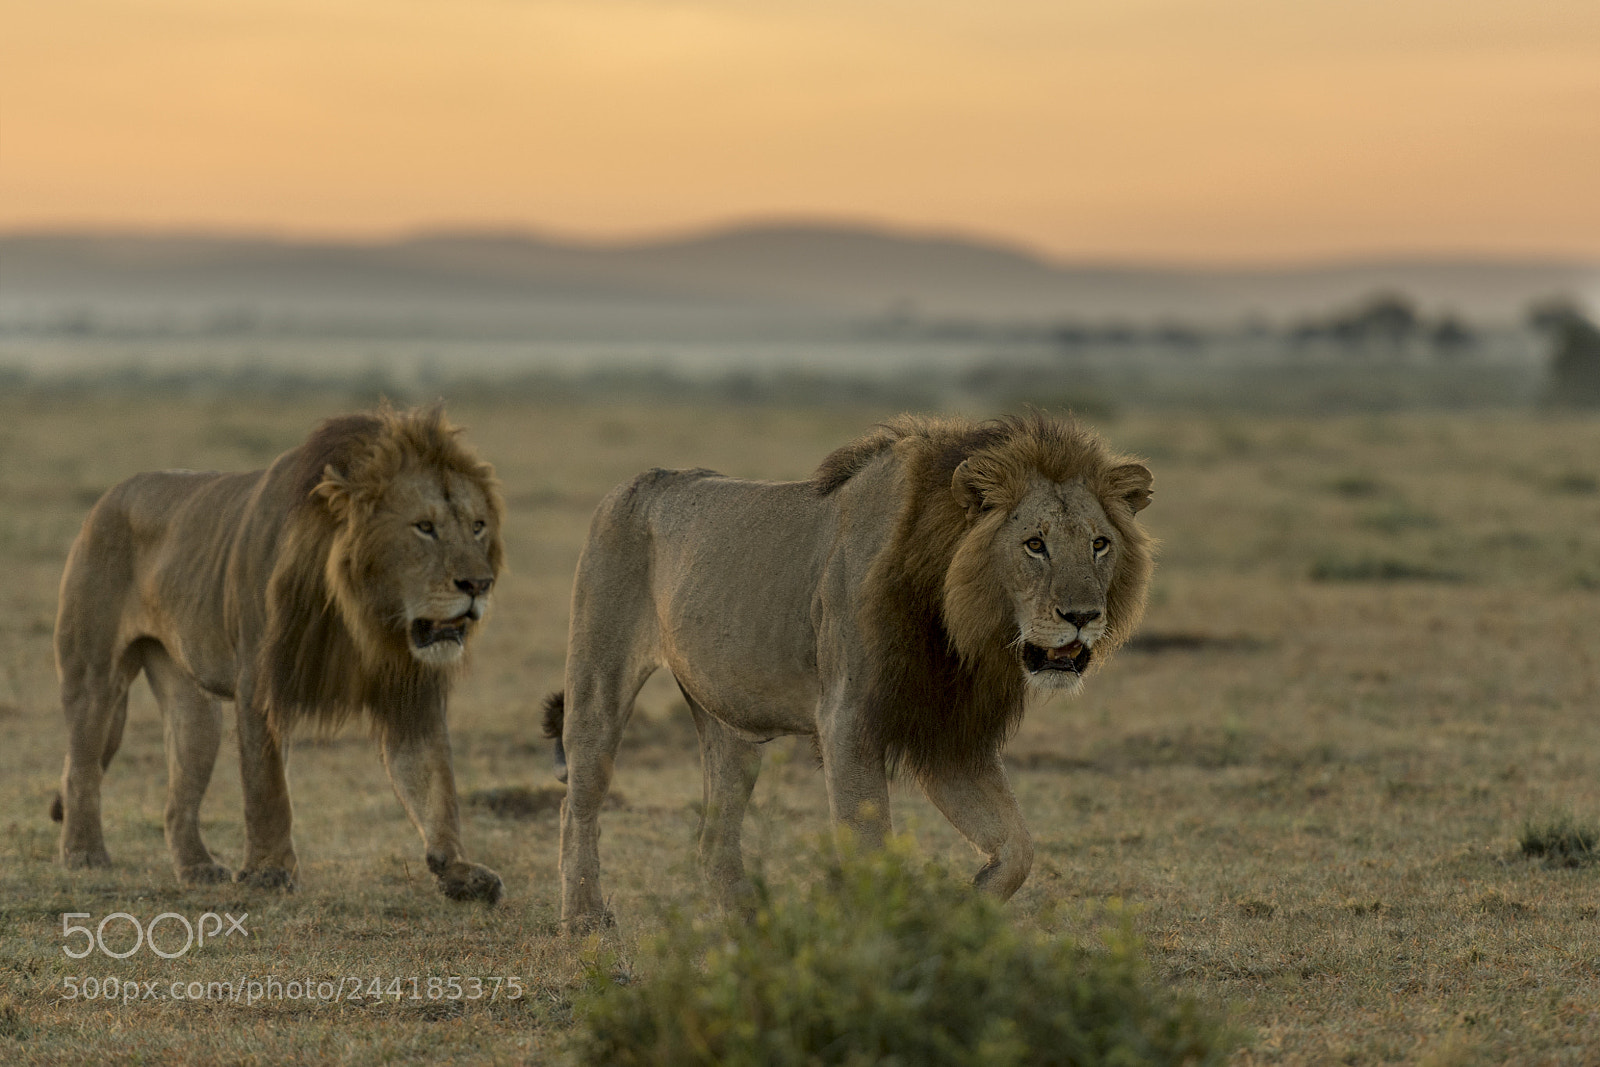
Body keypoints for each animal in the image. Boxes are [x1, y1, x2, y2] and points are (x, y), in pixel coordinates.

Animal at [51, 403, 506, 903]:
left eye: (478, 526)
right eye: (425, 528)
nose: (479, 585)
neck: (362, 614)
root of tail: (107, 497)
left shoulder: (409, 690)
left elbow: (434, 780)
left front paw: (460, 870)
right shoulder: (259, 682)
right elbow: (267, 786)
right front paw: (269, 872)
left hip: (195, 710)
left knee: (177, 799)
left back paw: (198, 867)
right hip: (95, 677)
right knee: (80, 768)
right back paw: (84, 854)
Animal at [544, 411, 1154, 925]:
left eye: (1100, 544)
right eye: (1034, 545)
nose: (1083, 617)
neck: (958, 623)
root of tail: (636, 480)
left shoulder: (949, 736)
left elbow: (1018, 849)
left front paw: (964, 907)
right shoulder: (847, 722)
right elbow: (869, 844)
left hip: (730, 730)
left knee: (713, 840)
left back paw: (754, 928)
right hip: (597, 682)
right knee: (579, 803)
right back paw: (585, 923)